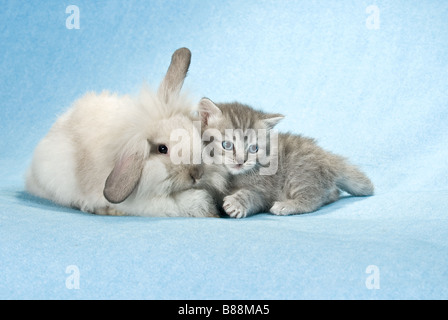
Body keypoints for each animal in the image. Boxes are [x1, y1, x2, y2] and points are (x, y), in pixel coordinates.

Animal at [200, 99, 374, 219]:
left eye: (253, 148)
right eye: (227, 145)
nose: (241, 161)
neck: (231, 177)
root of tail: (326, 156)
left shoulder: (264, 192)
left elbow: (252, 196)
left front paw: (237, 203)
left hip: (300, 172)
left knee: (314, 198)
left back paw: (286, 206)